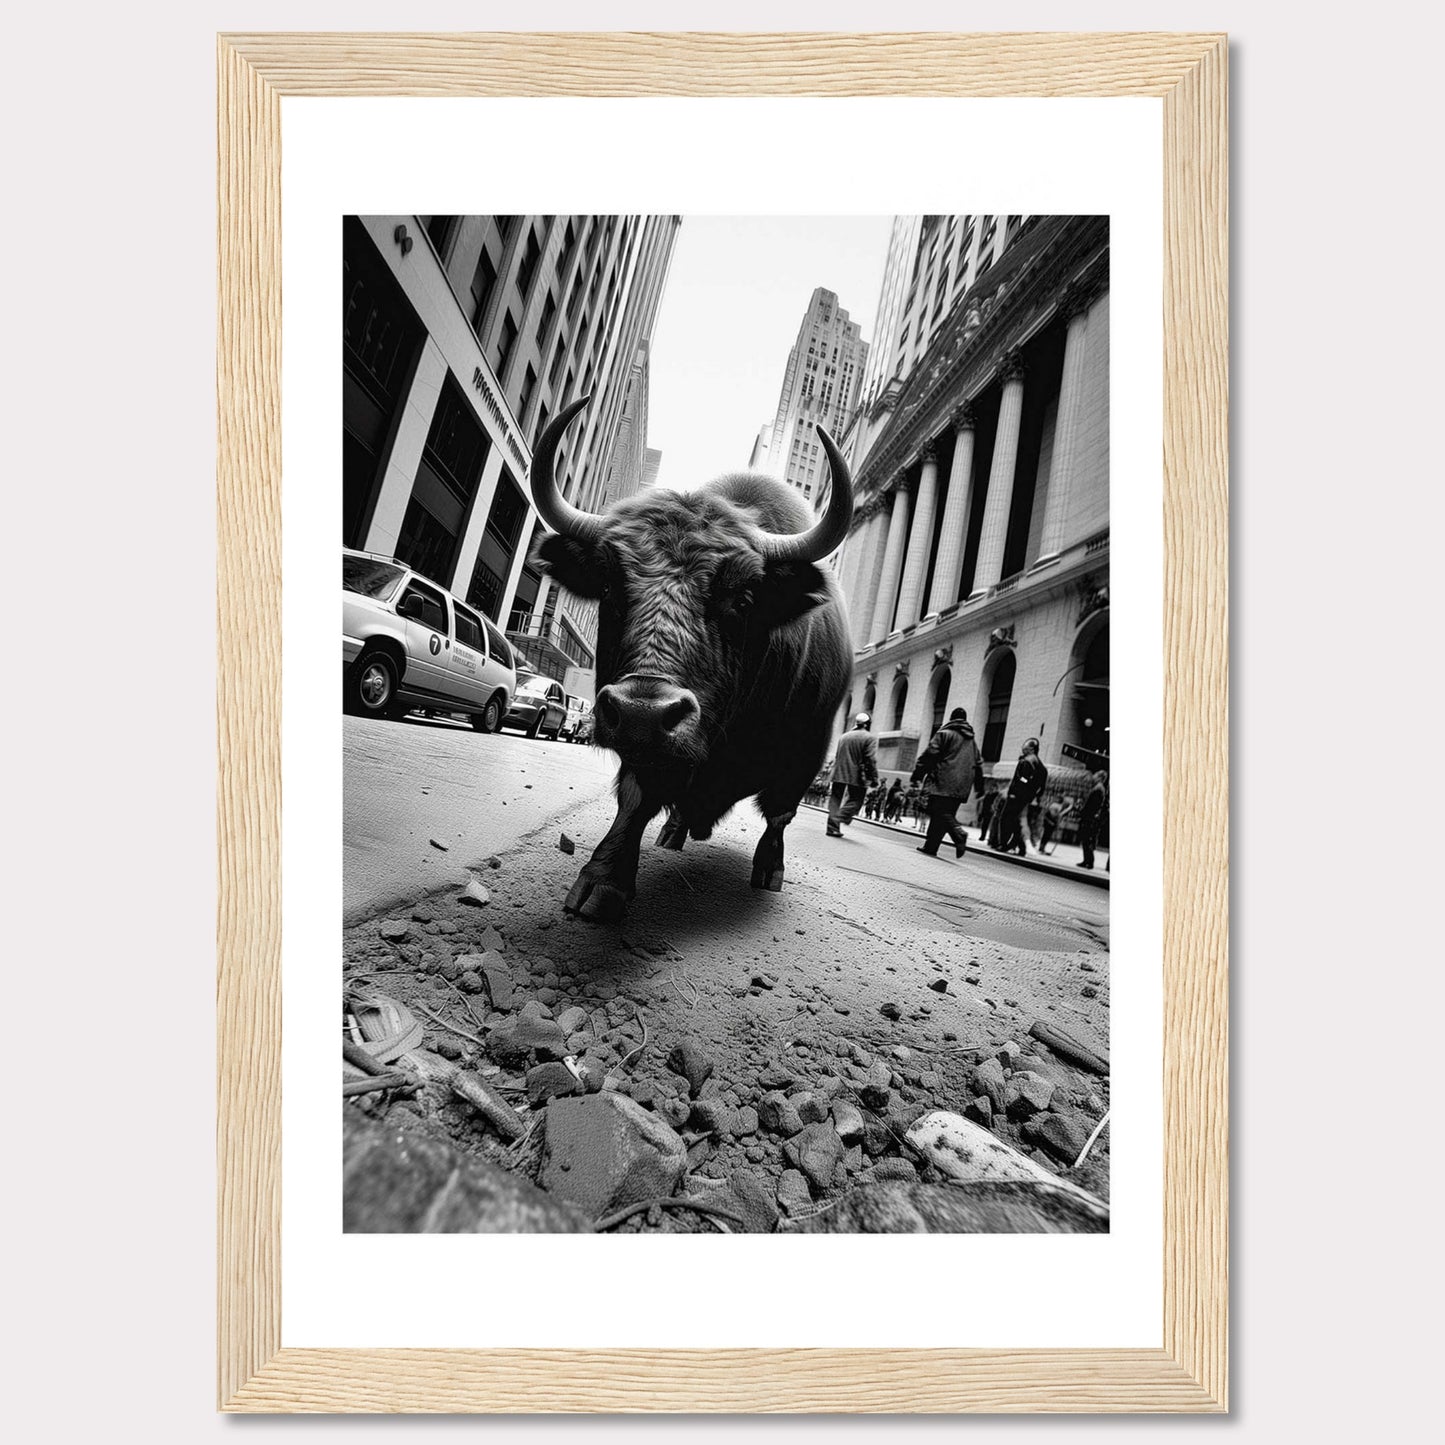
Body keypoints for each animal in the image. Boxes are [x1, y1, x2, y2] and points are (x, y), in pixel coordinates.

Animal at [531, 393, 855, 924]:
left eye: (742, 598)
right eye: (608, 587)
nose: (641, 712)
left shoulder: (808, 746)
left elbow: (781, 814)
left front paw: (770, 870)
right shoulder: (647, 751)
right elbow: (635, 799)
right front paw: (603, 881)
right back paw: (673, 832)